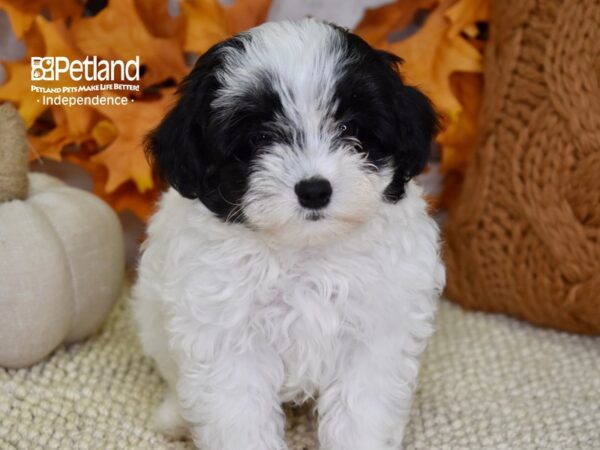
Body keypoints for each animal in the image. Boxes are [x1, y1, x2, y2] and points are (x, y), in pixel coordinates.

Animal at [135, 18, 446, 450]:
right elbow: (238, 416)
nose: (314, 190)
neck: (305, 252)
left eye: (350, 128)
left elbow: (361, 411)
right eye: (259, 139)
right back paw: (176, 417)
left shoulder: (376, 332)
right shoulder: (229, 340)